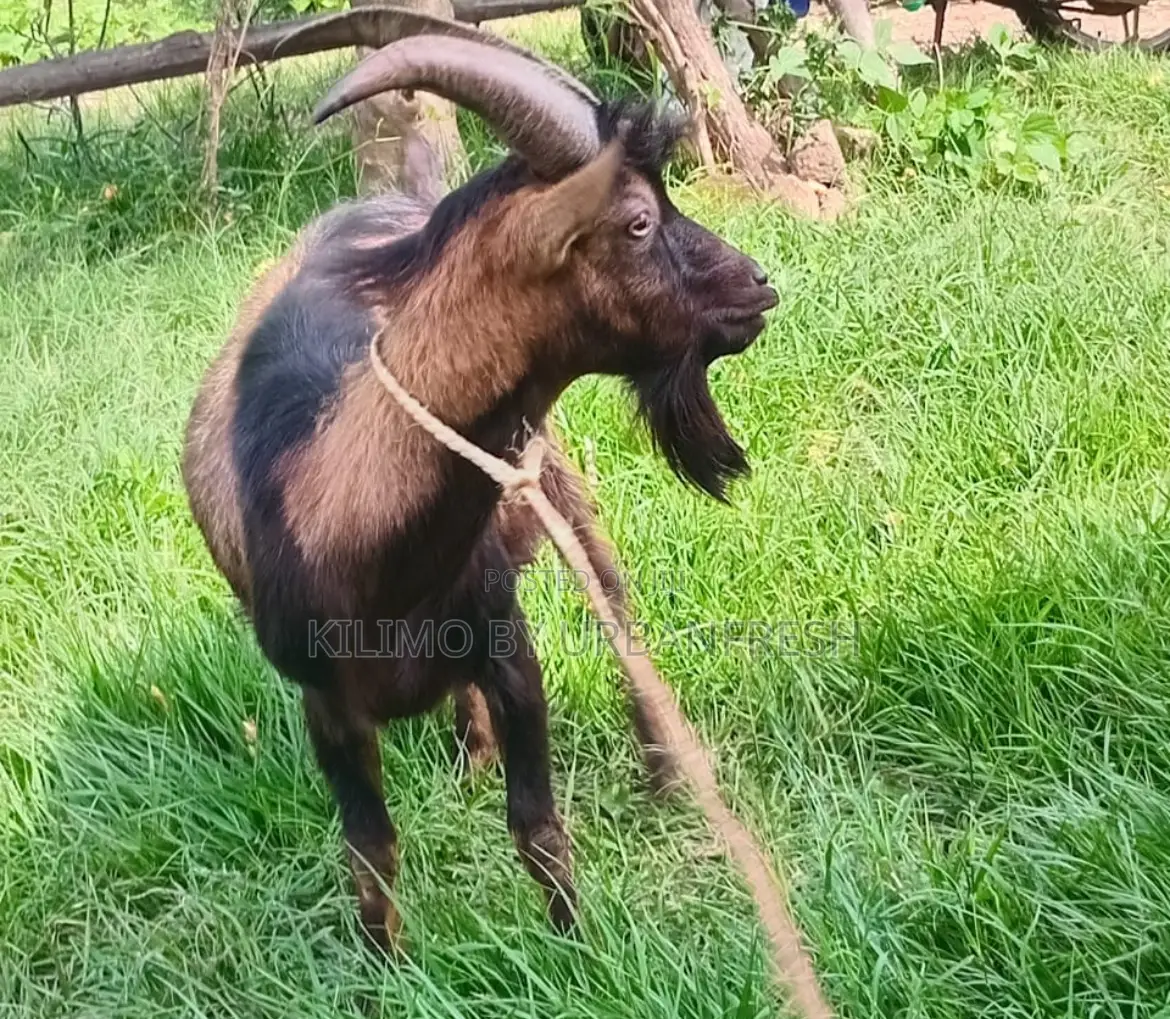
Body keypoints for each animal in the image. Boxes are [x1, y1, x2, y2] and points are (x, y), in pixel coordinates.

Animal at [181, 16, 778, 952]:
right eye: (639, 221)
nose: (758, 283)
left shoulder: (505, 641)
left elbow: (536, 823)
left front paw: (575, 946)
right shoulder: (324, 703)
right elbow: (370, 848)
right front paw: (386, 963)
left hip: (554, 482)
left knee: (613, 601)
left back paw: (663, 776)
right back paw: (473, 758)